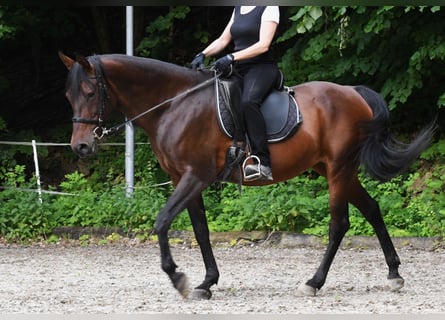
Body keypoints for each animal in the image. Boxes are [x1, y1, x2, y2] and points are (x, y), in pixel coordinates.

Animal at [58, 52, 434, 300]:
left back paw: (314, 282)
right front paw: (207, 282)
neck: (174, 104)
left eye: (90, 93)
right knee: (371, 209)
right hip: (333, 168)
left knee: (339, 224)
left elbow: (162, 222)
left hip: (339, 169)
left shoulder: (196, 176)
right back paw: (394, 274)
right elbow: (200, 230)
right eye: (68, 96)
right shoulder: (184, 179)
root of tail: (353, 92)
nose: (81, 146)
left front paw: (178, 278)